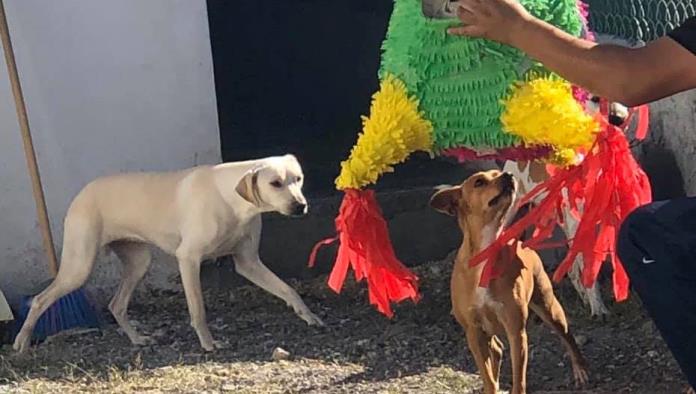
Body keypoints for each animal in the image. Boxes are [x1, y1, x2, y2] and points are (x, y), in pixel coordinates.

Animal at [13, 153, 324, 350]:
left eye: (298, 179)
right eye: (275, 183)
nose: (301, 206)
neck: (231, 200)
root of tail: (81, 192)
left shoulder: (248, 262)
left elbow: (287, 289)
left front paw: (308, 315)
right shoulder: (188, 259)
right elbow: (198, 309)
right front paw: (208, 344)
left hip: (139, 263)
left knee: (116, 305)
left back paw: (138, 339)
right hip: (79, 268)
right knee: (40, 300)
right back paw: (22, 342)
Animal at [430, 170, 588, 394]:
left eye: (497, 174)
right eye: (479, 182)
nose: (508, 174)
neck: (487, 252)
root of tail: (520, 241)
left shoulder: (516, 332)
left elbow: (518, 377)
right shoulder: (474, 333)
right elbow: (487, 375)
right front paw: (490, 386)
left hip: (549, 306)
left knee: (567, 336)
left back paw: (580, 368)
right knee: (496, 350)